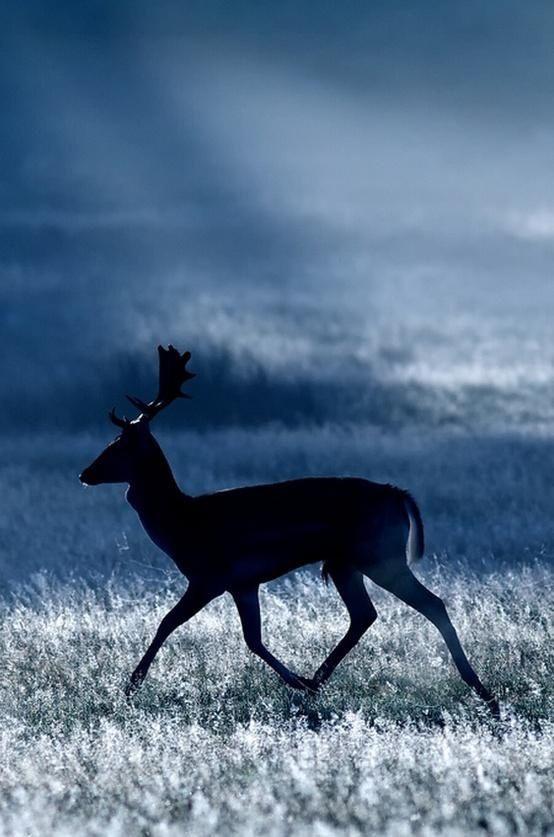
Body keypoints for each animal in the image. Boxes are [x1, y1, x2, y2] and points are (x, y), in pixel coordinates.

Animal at [80, 342, 498, 716]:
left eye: (118, 445)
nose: (85, 473)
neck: (181, 523)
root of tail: (400, 495)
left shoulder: (209, 576)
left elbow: (168, 622)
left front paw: (131, 685)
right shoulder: (243, 582)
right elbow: (253, 639)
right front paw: (296, 682)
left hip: (380, 554)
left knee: (431, 603)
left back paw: (480, 688)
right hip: (346, 563)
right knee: (364, 615)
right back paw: (316, 681)